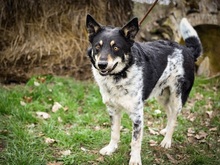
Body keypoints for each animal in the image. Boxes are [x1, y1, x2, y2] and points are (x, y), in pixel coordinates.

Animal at [85, 14, 202, 165]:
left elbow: (135, 141)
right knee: (170, 113)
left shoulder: (137, 114)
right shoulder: (113, 109)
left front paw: (135, 159)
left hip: (177, 96)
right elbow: (114, 132)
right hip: (163, 96)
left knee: (175, 116)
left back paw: (167, 140)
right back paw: (165, 131)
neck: (121, 74)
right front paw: (111, 149)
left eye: (116, 47)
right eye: (97, 47)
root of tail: (187, 50)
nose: (102, 64)